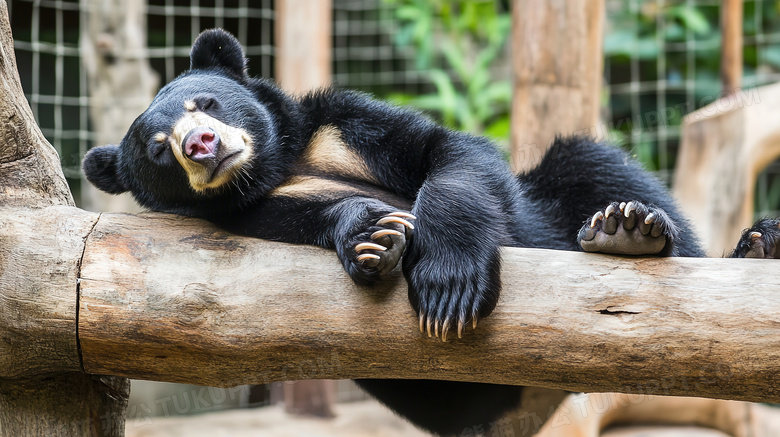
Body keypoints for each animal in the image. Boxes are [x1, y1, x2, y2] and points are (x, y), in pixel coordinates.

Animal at [82, 29, 772, 434]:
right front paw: (374, 238)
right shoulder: (245, 211)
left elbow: (447, 156)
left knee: (597, 166)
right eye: (157, 148)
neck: (282, 163)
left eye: (205, 103)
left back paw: (645, 232)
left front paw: (448, 284)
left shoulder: (345, 122)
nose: (201, 144)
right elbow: (302, 221)